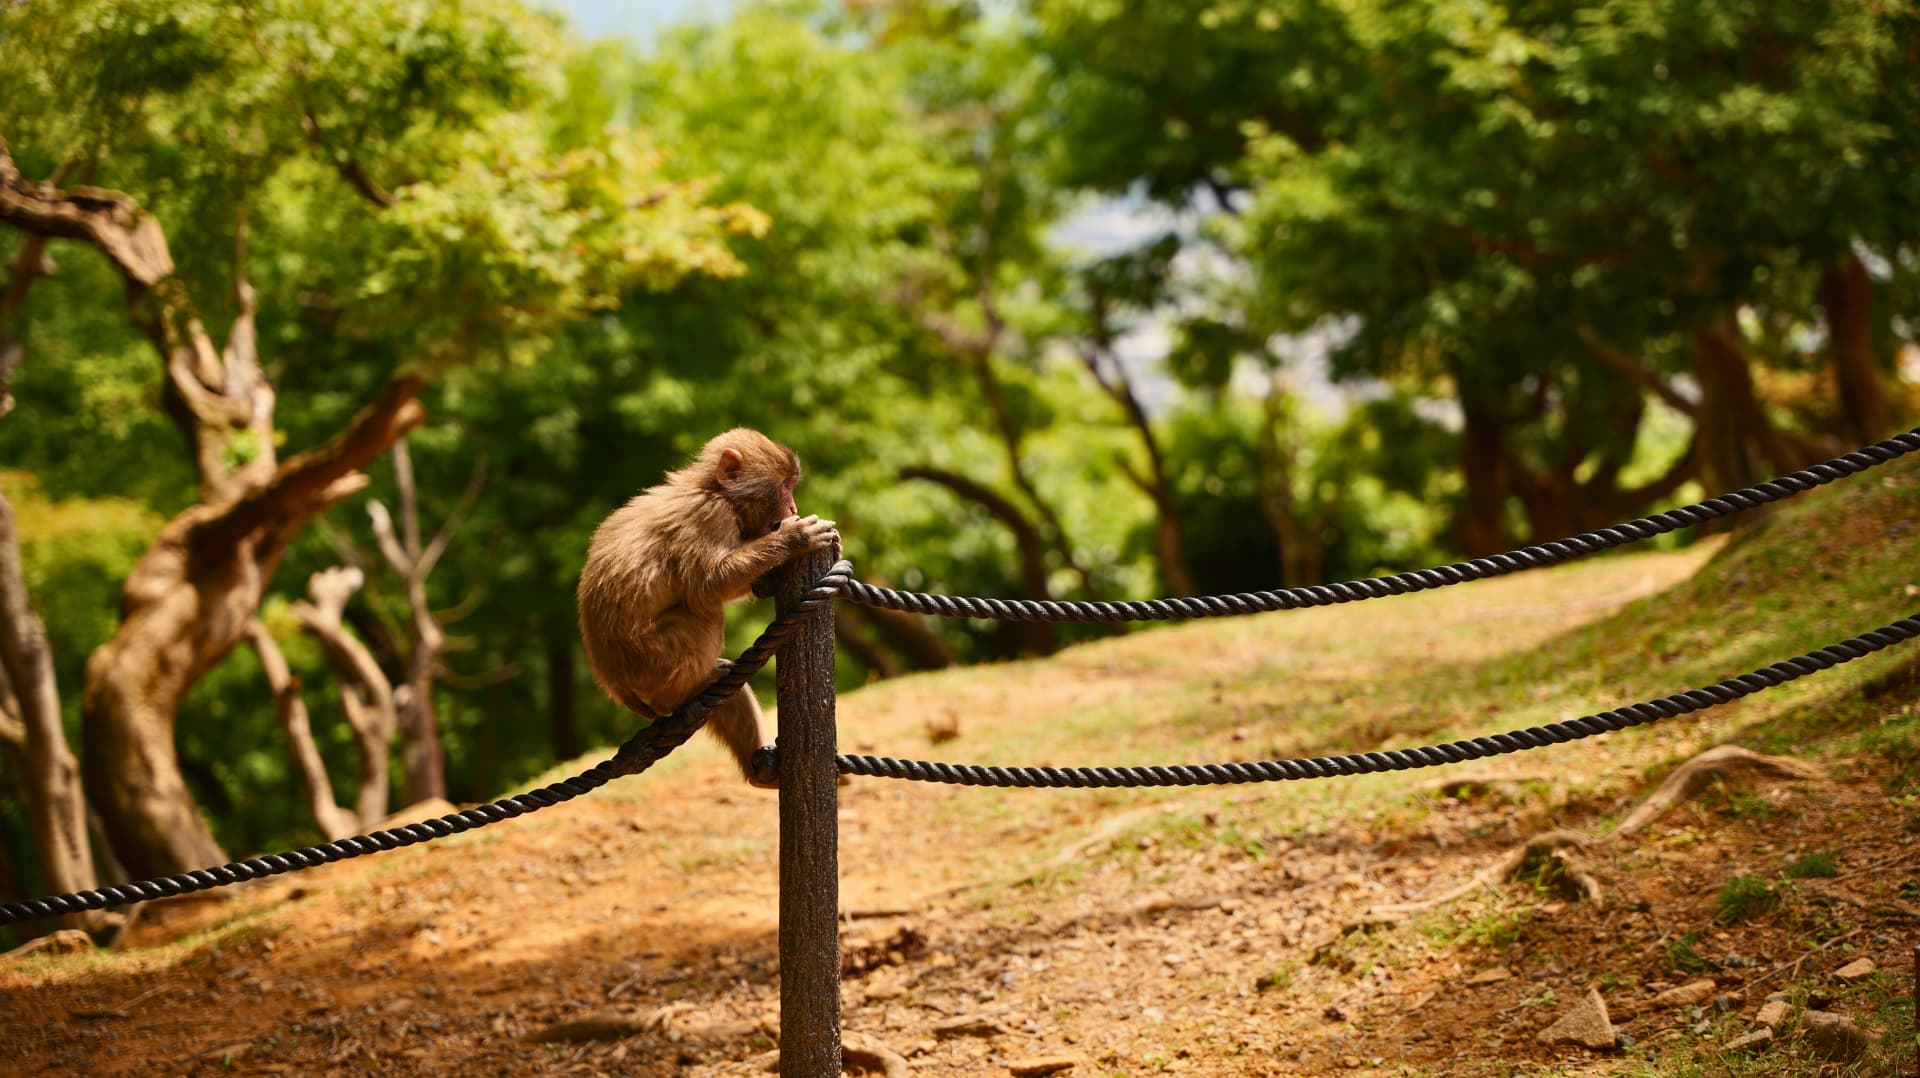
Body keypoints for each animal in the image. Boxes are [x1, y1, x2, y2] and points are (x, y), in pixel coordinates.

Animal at [577, 428, 839, 788]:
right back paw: (692, 690)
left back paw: (762, 772)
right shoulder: (711, 516)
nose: (793, 506)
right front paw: (794, 539)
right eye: (785, 485)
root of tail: (614, 684)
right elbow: (708, 586)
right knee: (705, 613)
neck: (713, 490)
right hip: (658, 663)